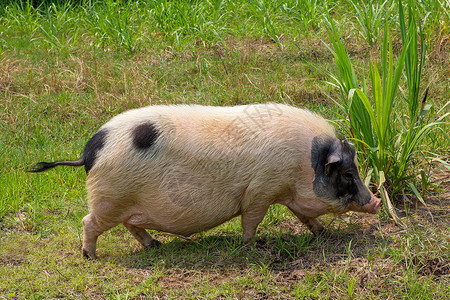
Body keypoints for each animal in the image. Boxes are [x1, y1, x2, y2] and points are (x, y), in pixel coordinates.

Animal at [28, 103, 380, 258]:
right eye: (348, 174)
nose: (375, 201)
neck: (304, 163)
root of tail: (89, 152)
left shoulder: (285, 190)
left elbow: (305, 216)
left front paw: (322, 234)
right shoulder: (262, 189)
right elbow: (252, 218)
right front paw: (251, 244)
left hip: (125, 202)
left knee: (132, 225)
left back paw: (155, 246)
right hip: (108, 198)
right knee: (89, 222)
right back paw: (90, 257)